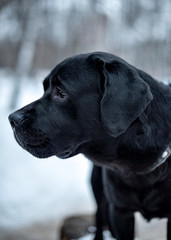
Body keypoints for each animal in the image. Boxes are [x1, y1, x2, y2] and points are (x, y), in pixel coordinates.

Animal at [9, 51, 171, 239]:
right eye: (45, 89)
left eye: (61, 93)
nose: (12, 119)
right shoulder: (119, 211)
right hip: (99, 189)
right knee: (99, 217)